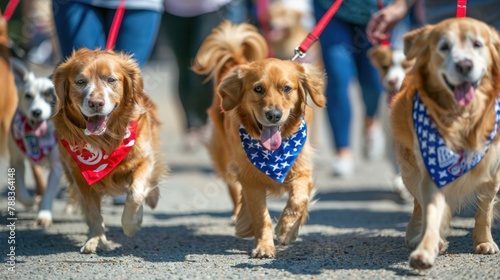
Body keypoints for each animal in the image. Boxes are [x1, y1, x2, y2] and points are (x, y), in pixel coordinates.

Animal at [8, 58, 63, 226]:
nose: (36, 112)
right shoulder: (16, 160)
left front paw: (44, 214)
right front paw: (30, 201)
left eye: (50, 95)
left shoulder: (57, 165)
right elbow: (20, 190)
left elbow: (49, 192)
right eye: (28, 95)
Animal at [52, 48, 166, 254]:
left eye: (111, 79)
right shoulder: (80, 176)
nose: (96, 103)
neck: (105, 141)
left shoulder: (143, 159)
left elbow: (136, 193)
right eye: (80, 82)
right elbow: (93, 211)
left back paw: (152, 198)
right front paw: (95, 238)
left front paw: (132, 224)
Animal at [190, 21, 324, 258]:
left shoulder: (301, 170)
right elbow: (261, 217)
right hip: (226, 158)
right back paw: (238, 217)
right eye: (258, 89)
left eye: (287, 88)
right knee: (233, 188)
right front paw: (264, 245)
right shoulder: (250, 179)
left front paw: (286, 229)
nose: (273, 115)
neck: (273, 154)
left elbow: (298, 200)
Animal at [390, 17, 500, 270]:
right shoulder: (433, 168)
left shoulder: (492, 171)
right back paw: (418, 236)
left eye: (477, 44)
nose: (464, 65)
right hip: (410, 167)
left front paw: (484, 241)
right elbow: (431, 210)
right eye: (444, 47)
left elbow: (485, 211)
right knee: (418, 204)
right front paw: (426, 249)